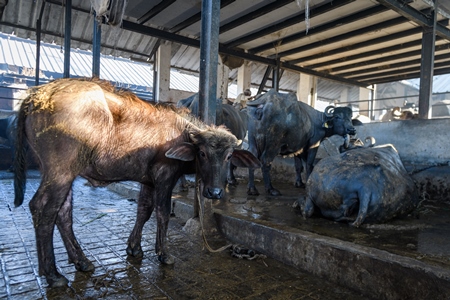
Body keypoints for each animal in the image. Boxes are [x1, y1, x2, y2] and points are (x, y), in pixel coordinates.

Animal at [13, 78, 260, 288]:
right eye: (202, 153)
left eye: (229, 156)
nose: (215, 192)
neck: (179, 133)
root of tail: (38, 95)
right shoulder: (164, 177)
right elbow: (162, 212)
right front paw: (163, 253)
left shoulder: (147, 181)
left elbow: (143, 210)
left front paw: (134, 248)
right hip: (60, 172)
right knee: (43, 209)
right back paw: (53, 274)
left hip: (64, 173)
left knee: (63, 214)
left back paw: (81, 262)